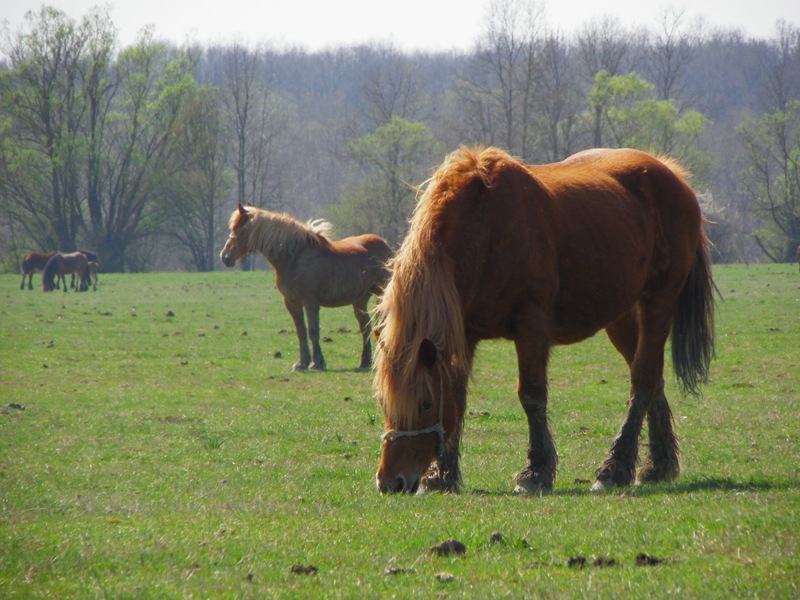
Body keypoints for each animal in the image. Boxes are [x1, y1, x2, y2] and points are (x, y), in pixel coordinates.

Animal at [219, 203, 394, 370]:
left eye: (237, 229)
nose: (224, 256)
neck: (295, 258)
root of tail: (386, 246)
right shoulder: (291, 302)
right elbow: (301, 331)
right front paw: (302, 363)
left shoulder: (311, 302)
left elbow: (313, 330)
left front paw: (317, 362)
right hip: (359, 300)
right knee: (365, 327)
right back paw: (365, 361)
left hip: (381, 295)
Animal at [372, 145, 716, 492]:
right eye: (384, 403)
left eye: (425, 404)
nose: (390, 482)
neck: (486, 229)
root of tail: (672, 174)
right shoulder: (464, 333)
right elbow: (457, 395)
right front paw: (443, 475)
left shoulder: (532, 327)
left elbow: (532, 395)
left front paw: (536, 472)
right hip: (621, 318)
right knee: (652, 377)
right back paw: (658, 465)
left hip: (658, 303)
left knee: (643, 379)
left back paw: (615, 469)